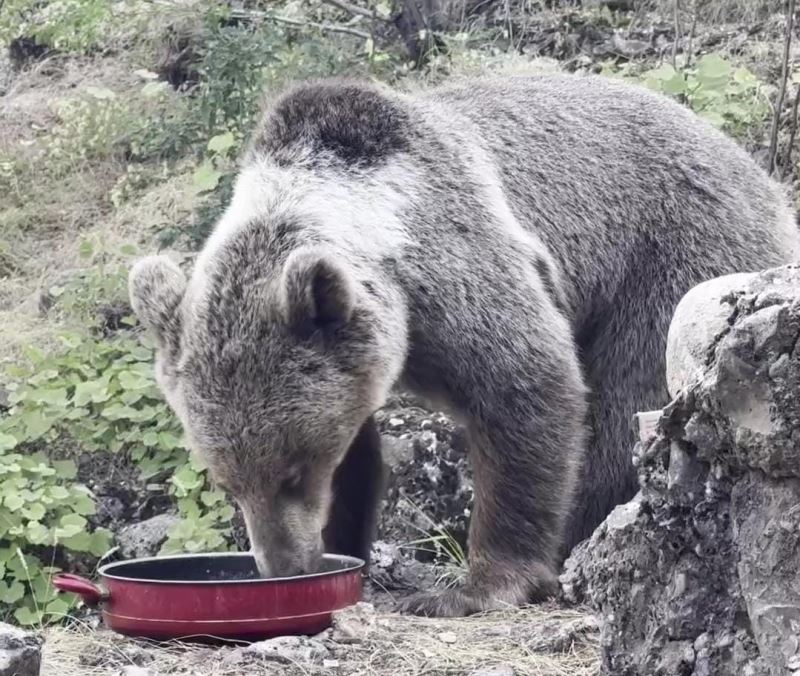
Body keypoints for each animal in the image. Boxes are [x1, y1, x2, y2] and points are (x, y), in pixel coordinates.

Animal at [128, 75, 796, 616]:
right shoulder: (360, 355)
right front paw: (347, 548)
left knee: (624, 412)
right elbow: (362, 452)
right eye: (227, 482)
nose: (284, 565)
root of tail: (755, 171)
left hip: (674, 261)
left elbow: (525, 383)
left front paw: (478, 586)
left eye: (293, 471)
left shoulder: (455, 264)